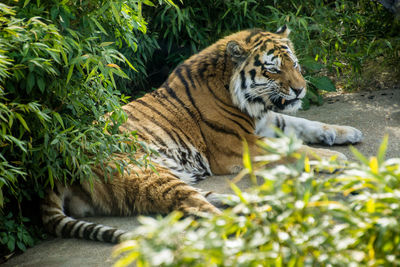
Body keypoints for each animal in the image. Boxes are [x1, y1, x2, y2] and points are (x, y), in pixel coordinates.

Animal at [41, 25, 362, 245]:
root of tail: (58, 167)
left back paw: (253, 204)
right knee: (194, 206)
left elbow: (305, 123)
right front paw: (333, 157)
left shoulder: (265, 121)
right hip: (147, 174)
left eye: (293, 64)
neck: (245, 99)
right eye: (273, 70)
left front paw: (346, 132)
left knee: (202, 196)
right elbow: (291, 149)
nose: (300, 90)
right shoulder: (240, 144)